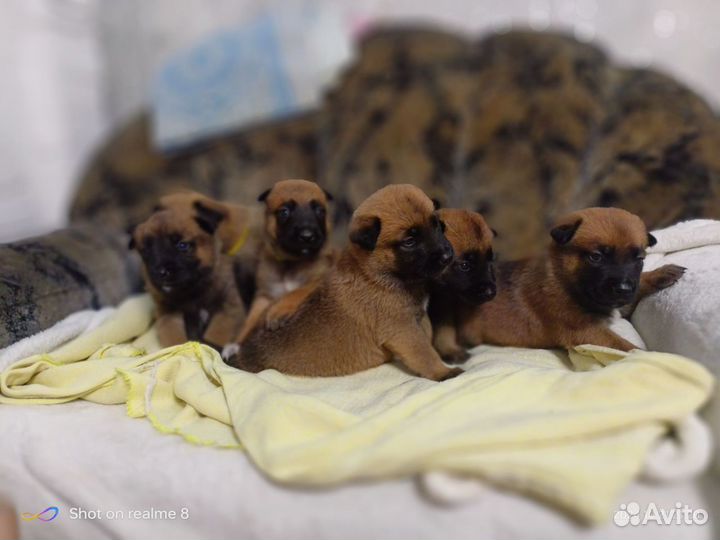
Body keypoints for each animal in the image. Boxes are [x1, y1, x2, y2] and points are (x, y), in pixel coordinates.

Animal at [131, 196, 248, 348]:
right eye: (146, 251)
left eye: (182, 245)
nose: (161, 272)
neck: (191, 292)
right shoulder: (167, 315)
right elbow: (175, 339)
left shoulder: (229, 306)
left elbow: (217, 331)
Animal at [236, 179, 338, 344]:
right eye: (284, 212)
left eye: (320, 211)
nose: (307, 236)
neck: (291, 263)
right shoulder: (264, 295)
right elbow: (250, 319)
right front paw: (236, 342)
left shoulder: (318, 280)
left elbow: (297, 291)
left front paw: (278, 311)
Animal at [428, 209, 496, 364]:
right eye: (465, 265)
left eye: (490, 261)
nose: (491, 292)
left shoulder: (443, 305)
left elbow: (445, 329)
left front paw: (449, 349)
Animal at [456, 206, 688, 350]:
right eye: (596, 257)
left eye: (639, 259)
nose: (623, 288)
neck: (564, 280)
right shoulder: (586, 333)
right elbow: (626, 347)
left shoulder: (621, 305)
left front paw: (660, 273)